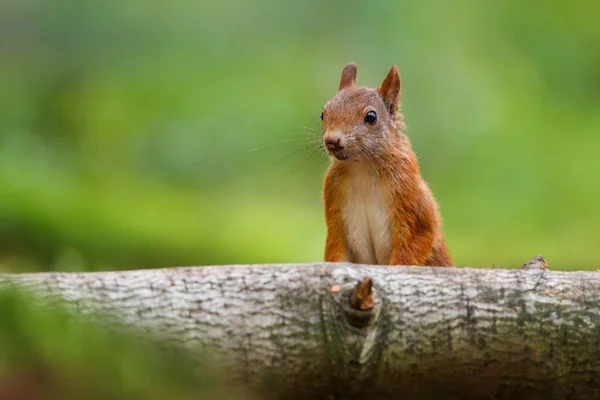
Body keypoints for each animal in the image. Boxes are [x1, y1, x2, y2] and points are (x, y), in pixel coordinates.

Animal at [322, 62, 452, 268]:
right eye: (323, 114)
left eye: (371, 116)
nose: (332, 140)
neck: (362, 165)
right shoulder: (334, 202)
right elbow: (337, 249)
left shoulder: (409, 195)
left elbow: (413, 244)